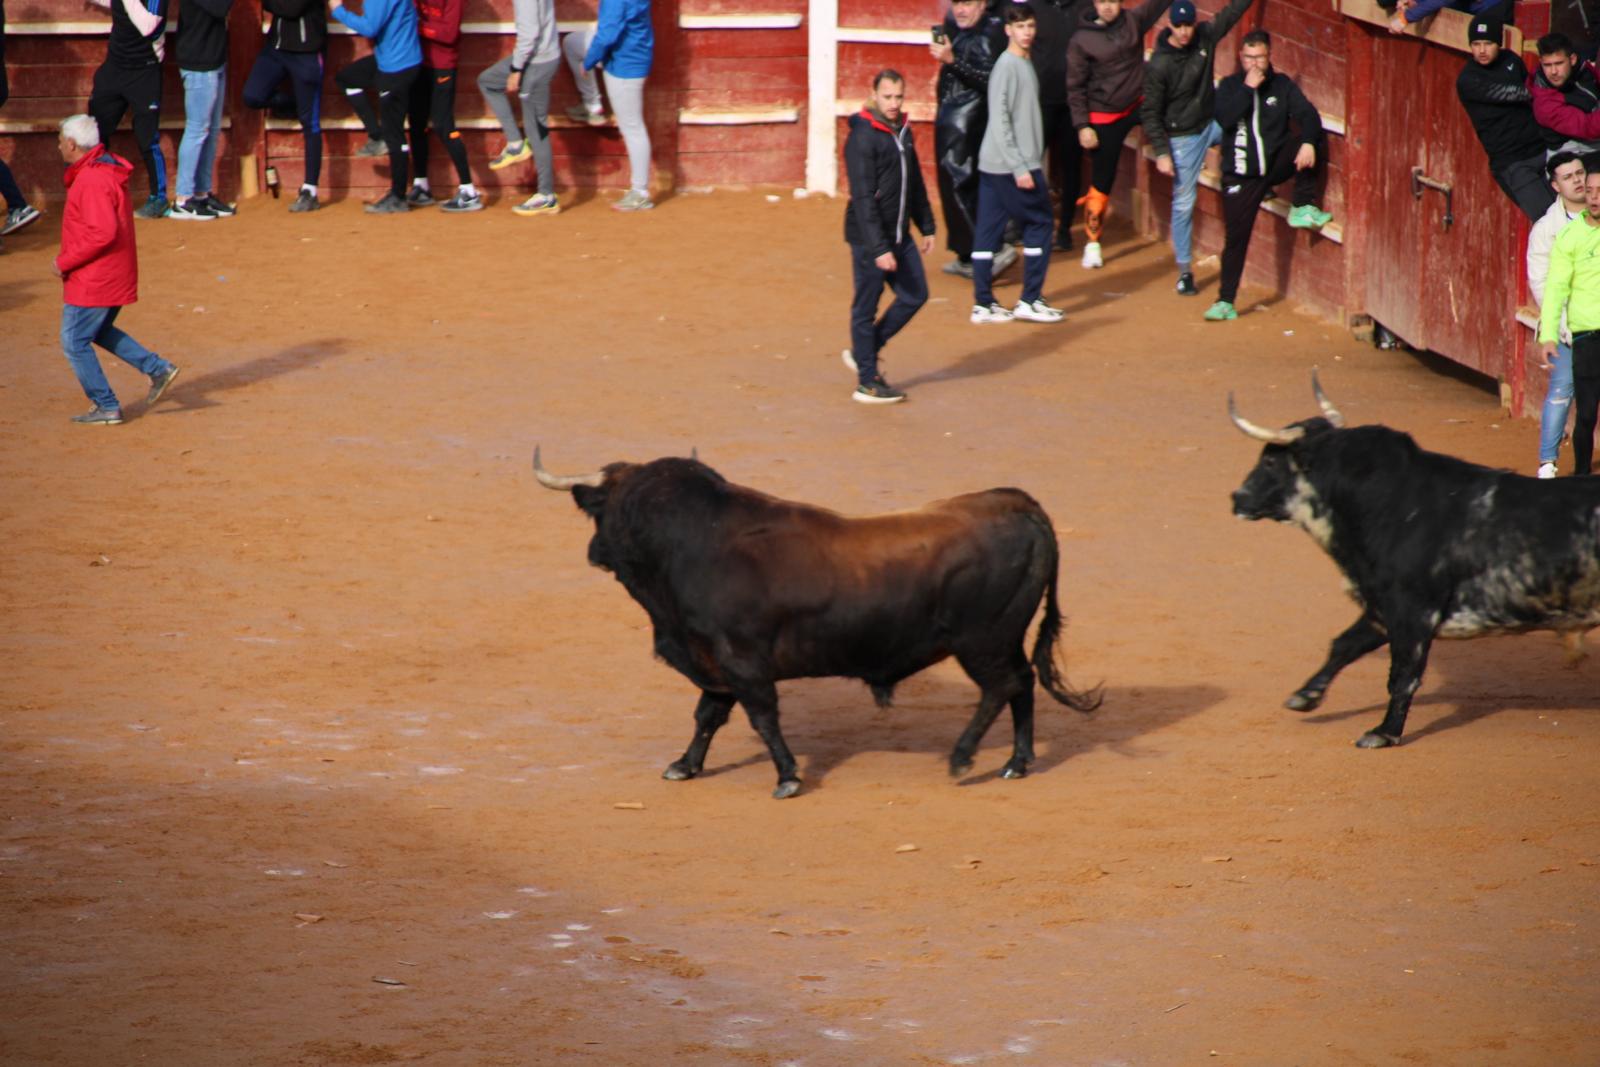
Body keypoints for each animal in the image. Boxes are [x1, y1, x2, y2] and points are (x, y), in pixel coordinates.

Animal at [534, 447, 1100, 796]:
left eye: (600, 511)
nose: (594, 553)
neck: (692, 543)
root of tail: (1017, 503)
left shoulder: (742, 662)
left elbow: (762, 716)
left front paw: (787, 777)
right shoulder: (712, 662)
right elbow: (707, 716)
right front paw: (685, 766)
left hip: (982, 641)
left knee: (1001, 686)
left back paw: (963, 759)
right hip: (1004, 639)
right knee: (1022, 683)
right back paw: (1016, 763)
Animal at [1228, 375, 1600, 751]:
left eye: (1270, 461)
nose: (1237, 498)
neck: (1385, 502)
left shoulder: (1412, 611)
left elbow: (1403, 675)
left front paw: (1383, 732)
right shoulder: (1382, 605)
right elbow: (1343, 644)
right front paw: (1306, 696)